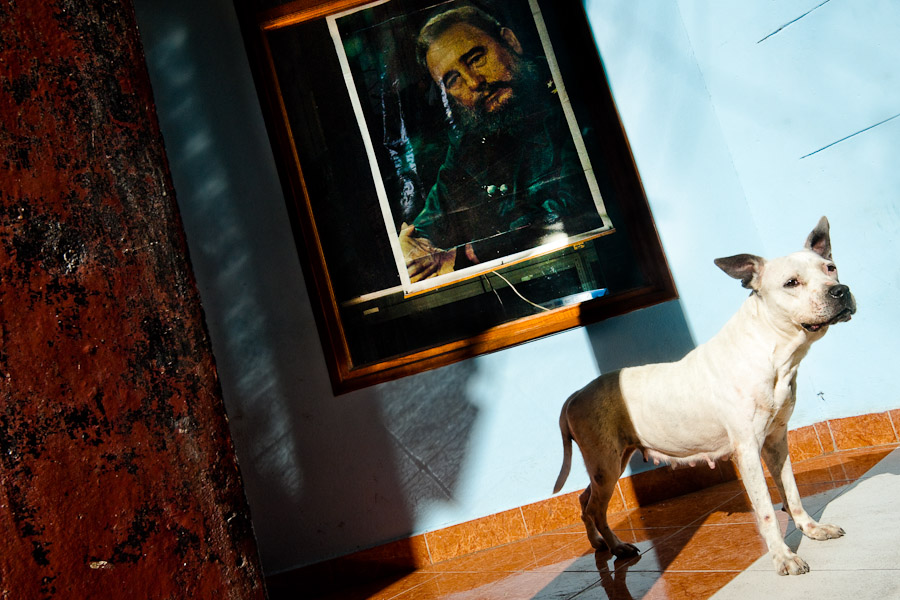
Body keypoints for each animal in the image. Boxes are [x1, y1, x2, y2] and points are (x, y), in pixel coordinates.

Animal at [556, 218, 856, 576]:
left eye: (830, 268)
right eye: (791, 283)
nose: (840, 290)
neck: (771, 350)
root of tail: (575, 394)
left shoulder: (777, 441)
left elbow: (792, 493)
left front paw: (812, 530)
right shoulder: (748, 450)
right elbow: (767, 511)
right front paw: (783, 557)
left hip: (607, 461)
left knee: (584, 500)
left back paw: (599, 544)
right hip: (606, 464)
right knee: (595, 509)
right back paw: (616, 547)